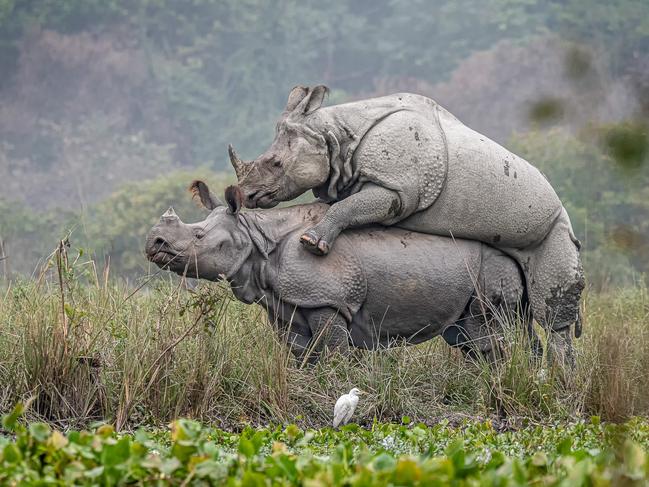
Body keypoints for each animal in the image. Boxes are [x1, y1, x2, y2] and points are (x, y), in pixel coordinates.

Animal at [144, 181, 576, 364]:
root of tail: (517, 257)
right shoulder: (288, 303)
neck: (257, 237)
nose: (154, 244)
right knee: (468, 335)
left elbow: (333, 352)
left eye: (198, 236)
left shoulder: (329, 300)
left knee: (487, 330)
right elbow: (299, 355)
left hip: (492, 267)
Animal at [228, 87, 584, 346]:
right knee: (522, 314)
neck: (335, 135)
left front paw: (311, 244)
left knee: (552, 316)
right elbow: (346, 208)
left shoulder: (398, 189)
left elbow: (346, 209)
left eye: (275, 164)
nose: (246, 195)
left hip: (555, 225)